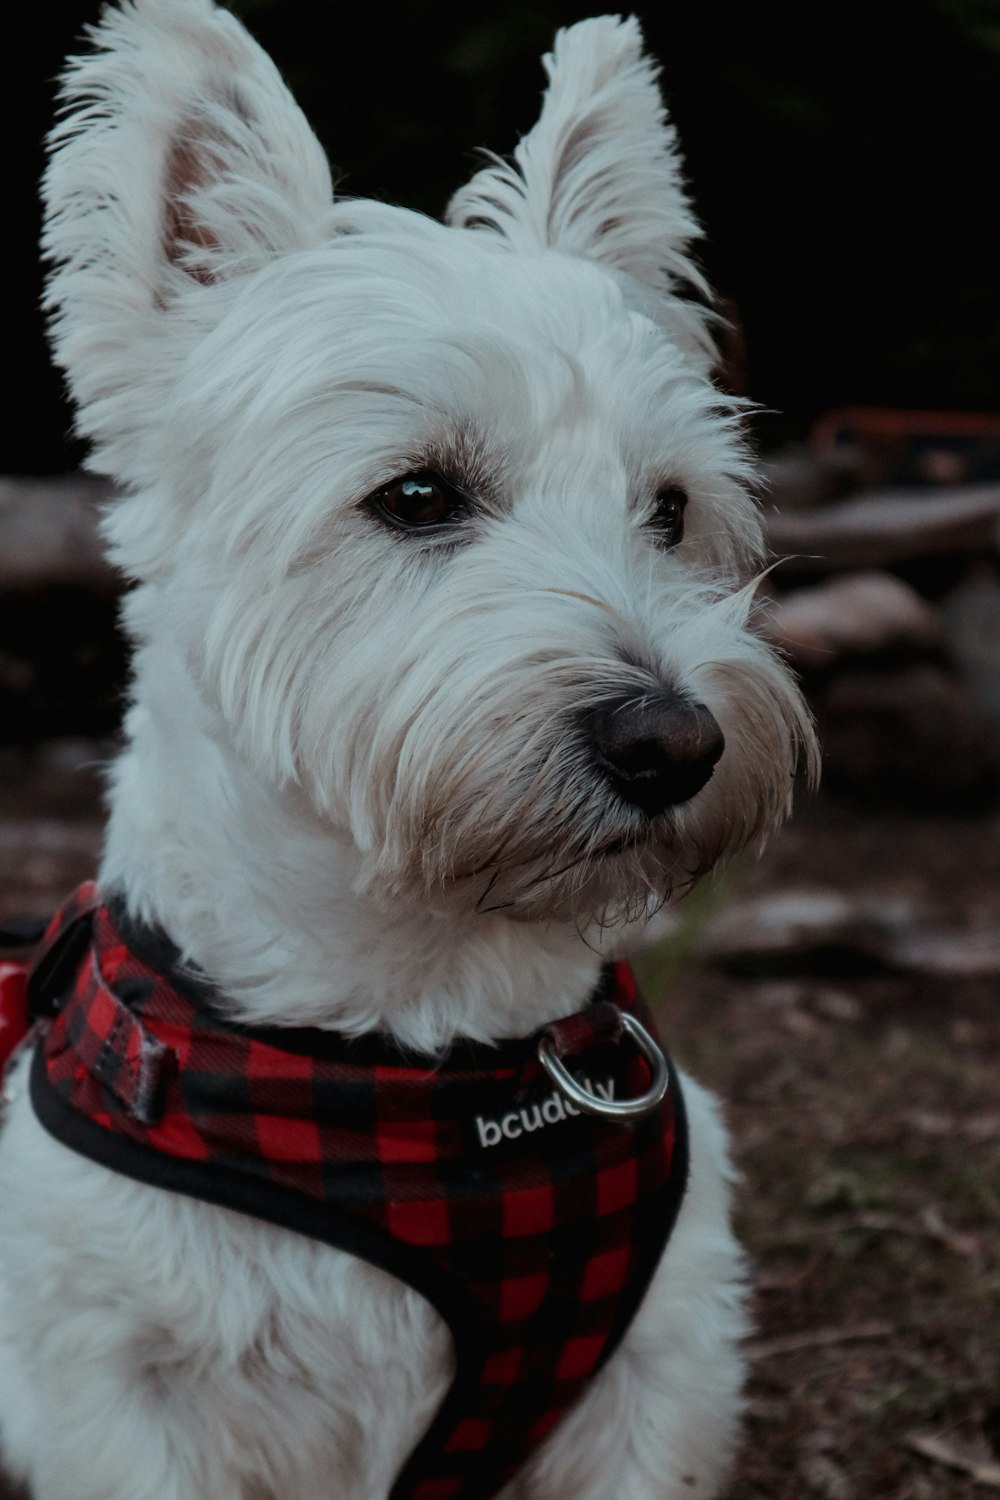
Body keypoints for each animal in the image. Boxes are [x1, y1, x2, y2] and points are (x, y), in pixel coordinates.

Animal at [0, 2, 815, 1500]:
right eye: (419, 495)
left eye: (670, 509)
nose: (673, 742)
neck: (413, 1041)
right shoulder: (122, 1386)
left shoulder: (652, 1368)